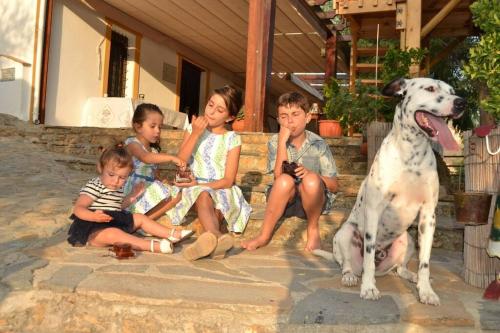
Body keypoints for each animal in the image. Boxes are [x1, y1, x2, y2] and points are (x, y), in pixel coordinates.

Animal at [314, 77, 466, 304]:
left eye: (452, 90)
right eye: (430, 88)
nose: (461, 103)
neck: (412, 155)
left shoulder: (428, 216)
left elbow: (425, 262)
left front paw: (426, 290)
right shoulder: (374, 211)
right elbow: (368, 257)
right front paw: (368, 288)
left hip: (409, 239)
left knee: (399, 268)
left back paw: (411, 276)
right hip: (345, 233)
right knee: (347, 263)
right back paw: (350, 276)